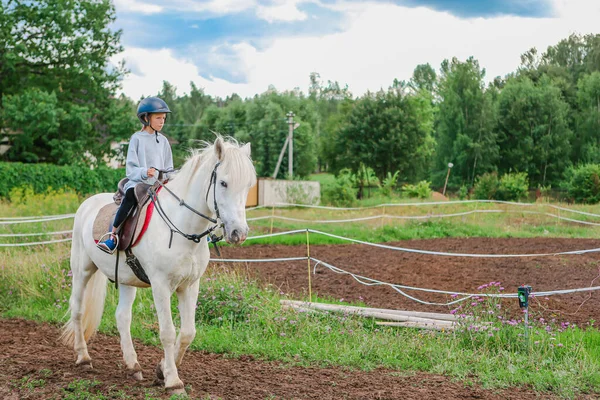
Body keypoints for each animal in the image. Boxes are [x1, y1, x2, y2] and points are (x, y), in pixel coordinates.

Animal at [60, 137, 255, 394]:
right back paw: (83, 358)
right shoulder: (161, 285)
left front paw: (161, 370)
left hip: (126, 280)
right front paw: (173, 381)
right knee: (78, 310)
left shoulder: (189, 286)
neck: (182, 227)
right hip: (82, 270)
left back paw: (133, 366)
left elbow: (188, 332)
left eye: (248, 186)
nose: (238, 233)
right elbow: (168, 332)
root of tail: (88, 204)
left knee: (122, 316)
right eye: (223, 183)